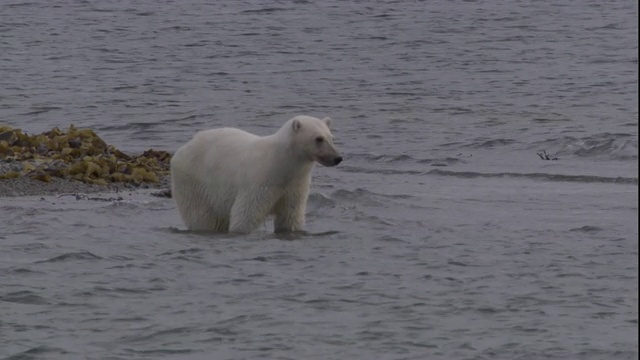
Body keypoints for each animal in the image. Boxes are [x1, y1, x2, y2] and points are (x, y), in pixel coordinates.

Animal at [168, 115, 342, 233]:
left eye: (331, 137)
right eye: (318, 138)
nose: (337, 158)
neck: (281, 164)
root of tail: (182, 150)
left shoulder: (295, 184)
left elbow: (290, 216)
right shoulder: (260, 181)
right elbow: (246, 215)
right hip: (194, 183)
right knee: (202, 217)